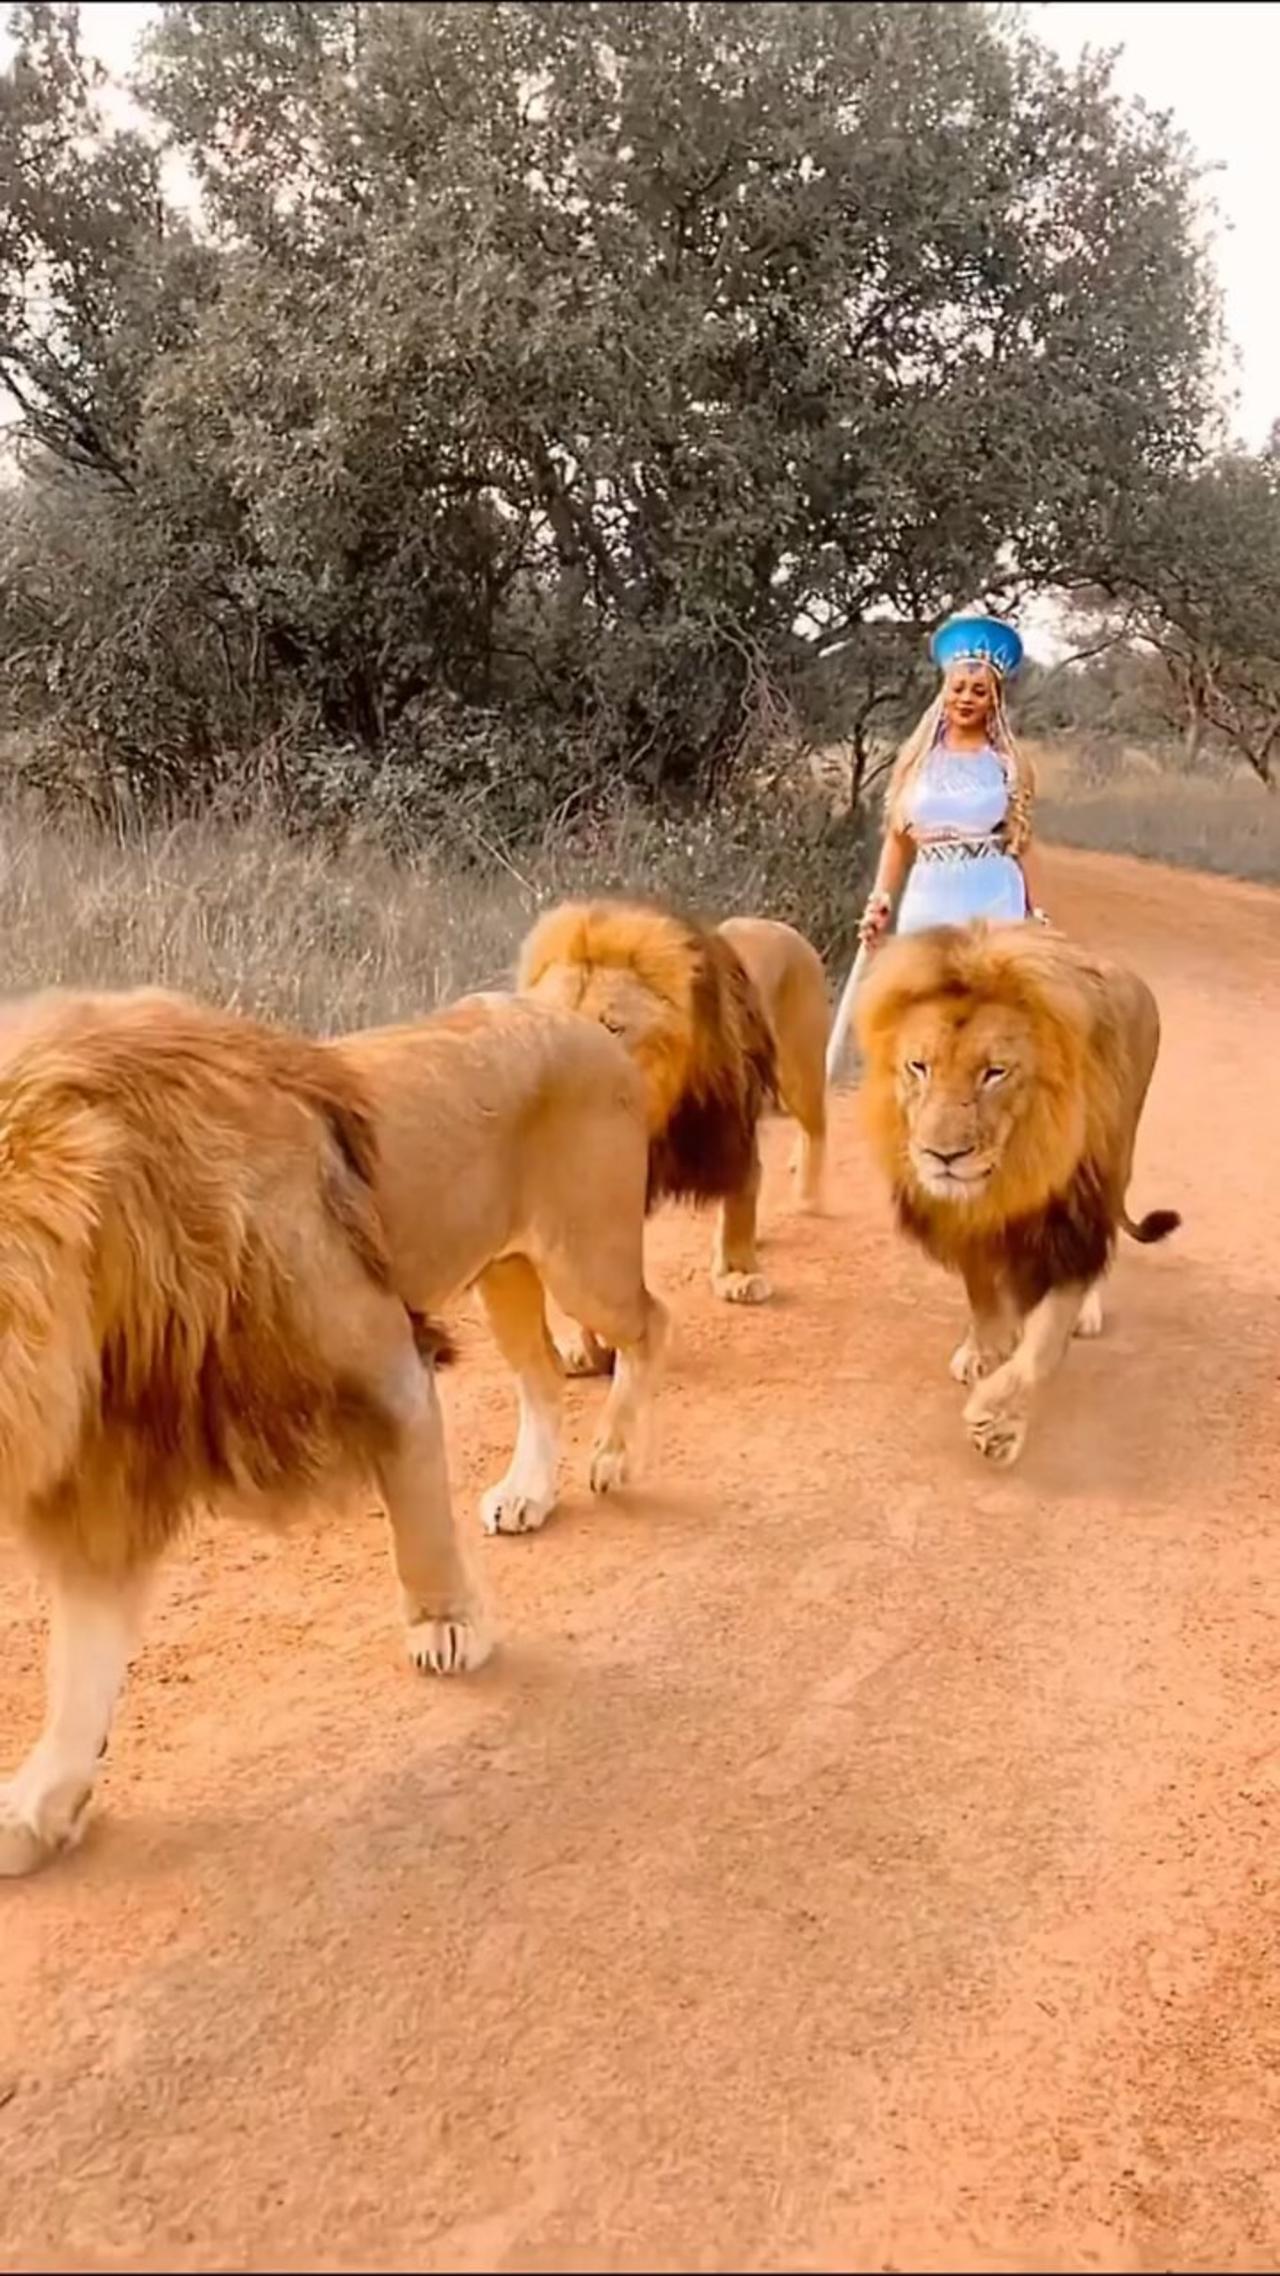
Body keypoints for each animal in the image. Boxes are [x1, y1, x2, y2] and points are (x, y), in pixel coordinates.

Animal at [0, 986, 663, 1877]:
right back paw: (529, 1493)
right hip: (504, 1271)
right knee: (542, 1377)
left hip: (583, 1259)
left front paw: (448, 1628)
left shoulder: (387, 1366)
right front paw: (40, 1804)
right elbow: (82, 1660)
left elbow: (420, 1527)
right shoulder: (111, 1467)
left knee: (650, 1323)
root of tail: (568, 1013)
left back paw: (615, 1456)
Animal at [855, 922, 1180, 1468]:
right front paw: (984, 1348)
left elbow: (1041, 1350)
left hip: (1118, 1159)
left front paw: (997, 1422)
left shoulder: (1069, 1231)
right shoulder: (967, 1226)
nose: (941, 1155)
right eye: (919, 1066)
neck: (1010, 1174)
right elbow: (981, 1295)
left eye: (994, 1072)